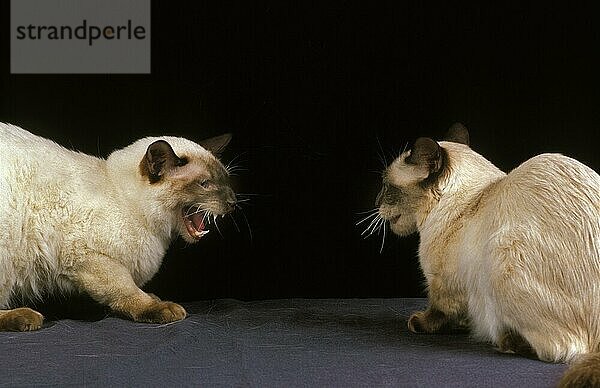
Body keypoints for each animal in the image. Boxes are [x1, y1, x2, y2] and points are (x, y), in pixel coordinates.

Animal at [0, 123, 237, 332]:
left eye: (227, 181)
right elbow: (125, 289)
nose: (233, 202)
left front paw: (153, 297)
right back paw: (24, 317)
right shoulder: (89, 258)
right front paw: (156, 306)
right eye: (205, 184)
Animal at [376, 124, 600, 388]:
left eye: (387, 187)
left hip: (501, 255)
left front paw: (418, 323)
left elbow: (439, 310)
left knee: (564, 348)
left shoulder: (444, 285)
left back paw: (506, 341)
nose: (376, 202)